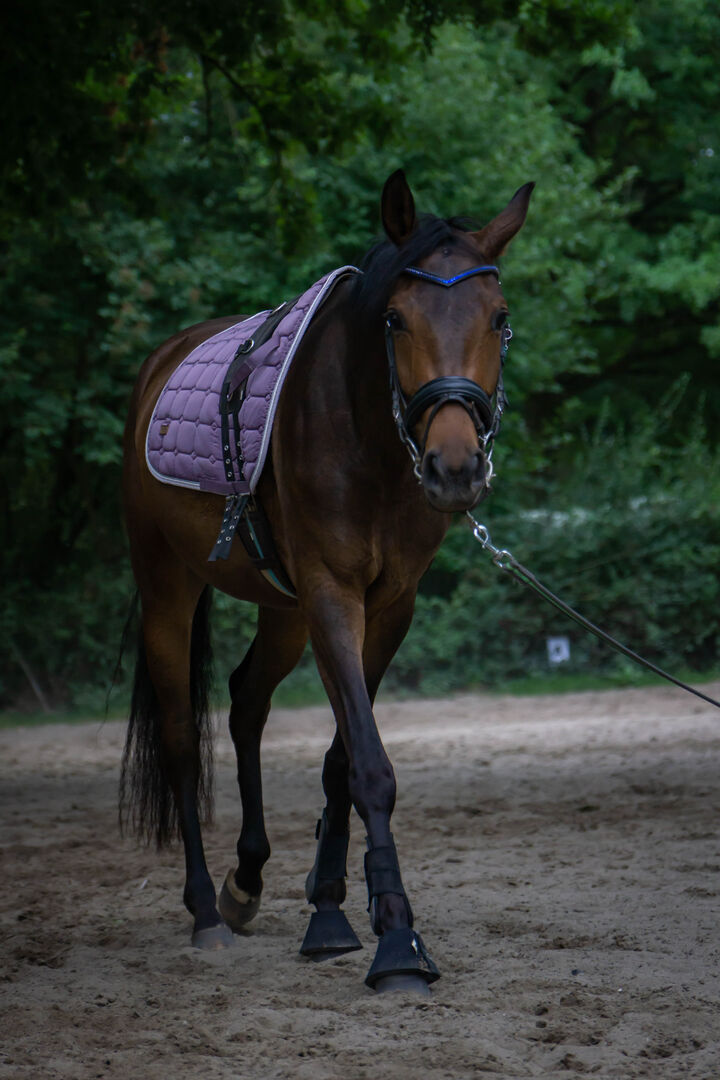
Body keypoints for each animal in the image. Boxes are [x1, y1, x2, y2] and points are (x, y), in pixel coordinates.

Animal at [121, 169, 534, 993]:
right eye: (397, 319)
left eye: (499, 318)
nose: (454, 468)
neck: (368, 435)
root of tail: (161, 365)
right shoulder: (333, 595)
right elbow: (370, 764)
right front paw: (398, 941)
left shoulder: (390, 604)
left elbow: (344, 756)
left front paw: (333, 907)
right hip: (168, 587)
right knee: (181, 737)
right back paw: (207, 911)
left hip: (284, 610)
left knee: (247, 701)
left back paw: (247, 880)